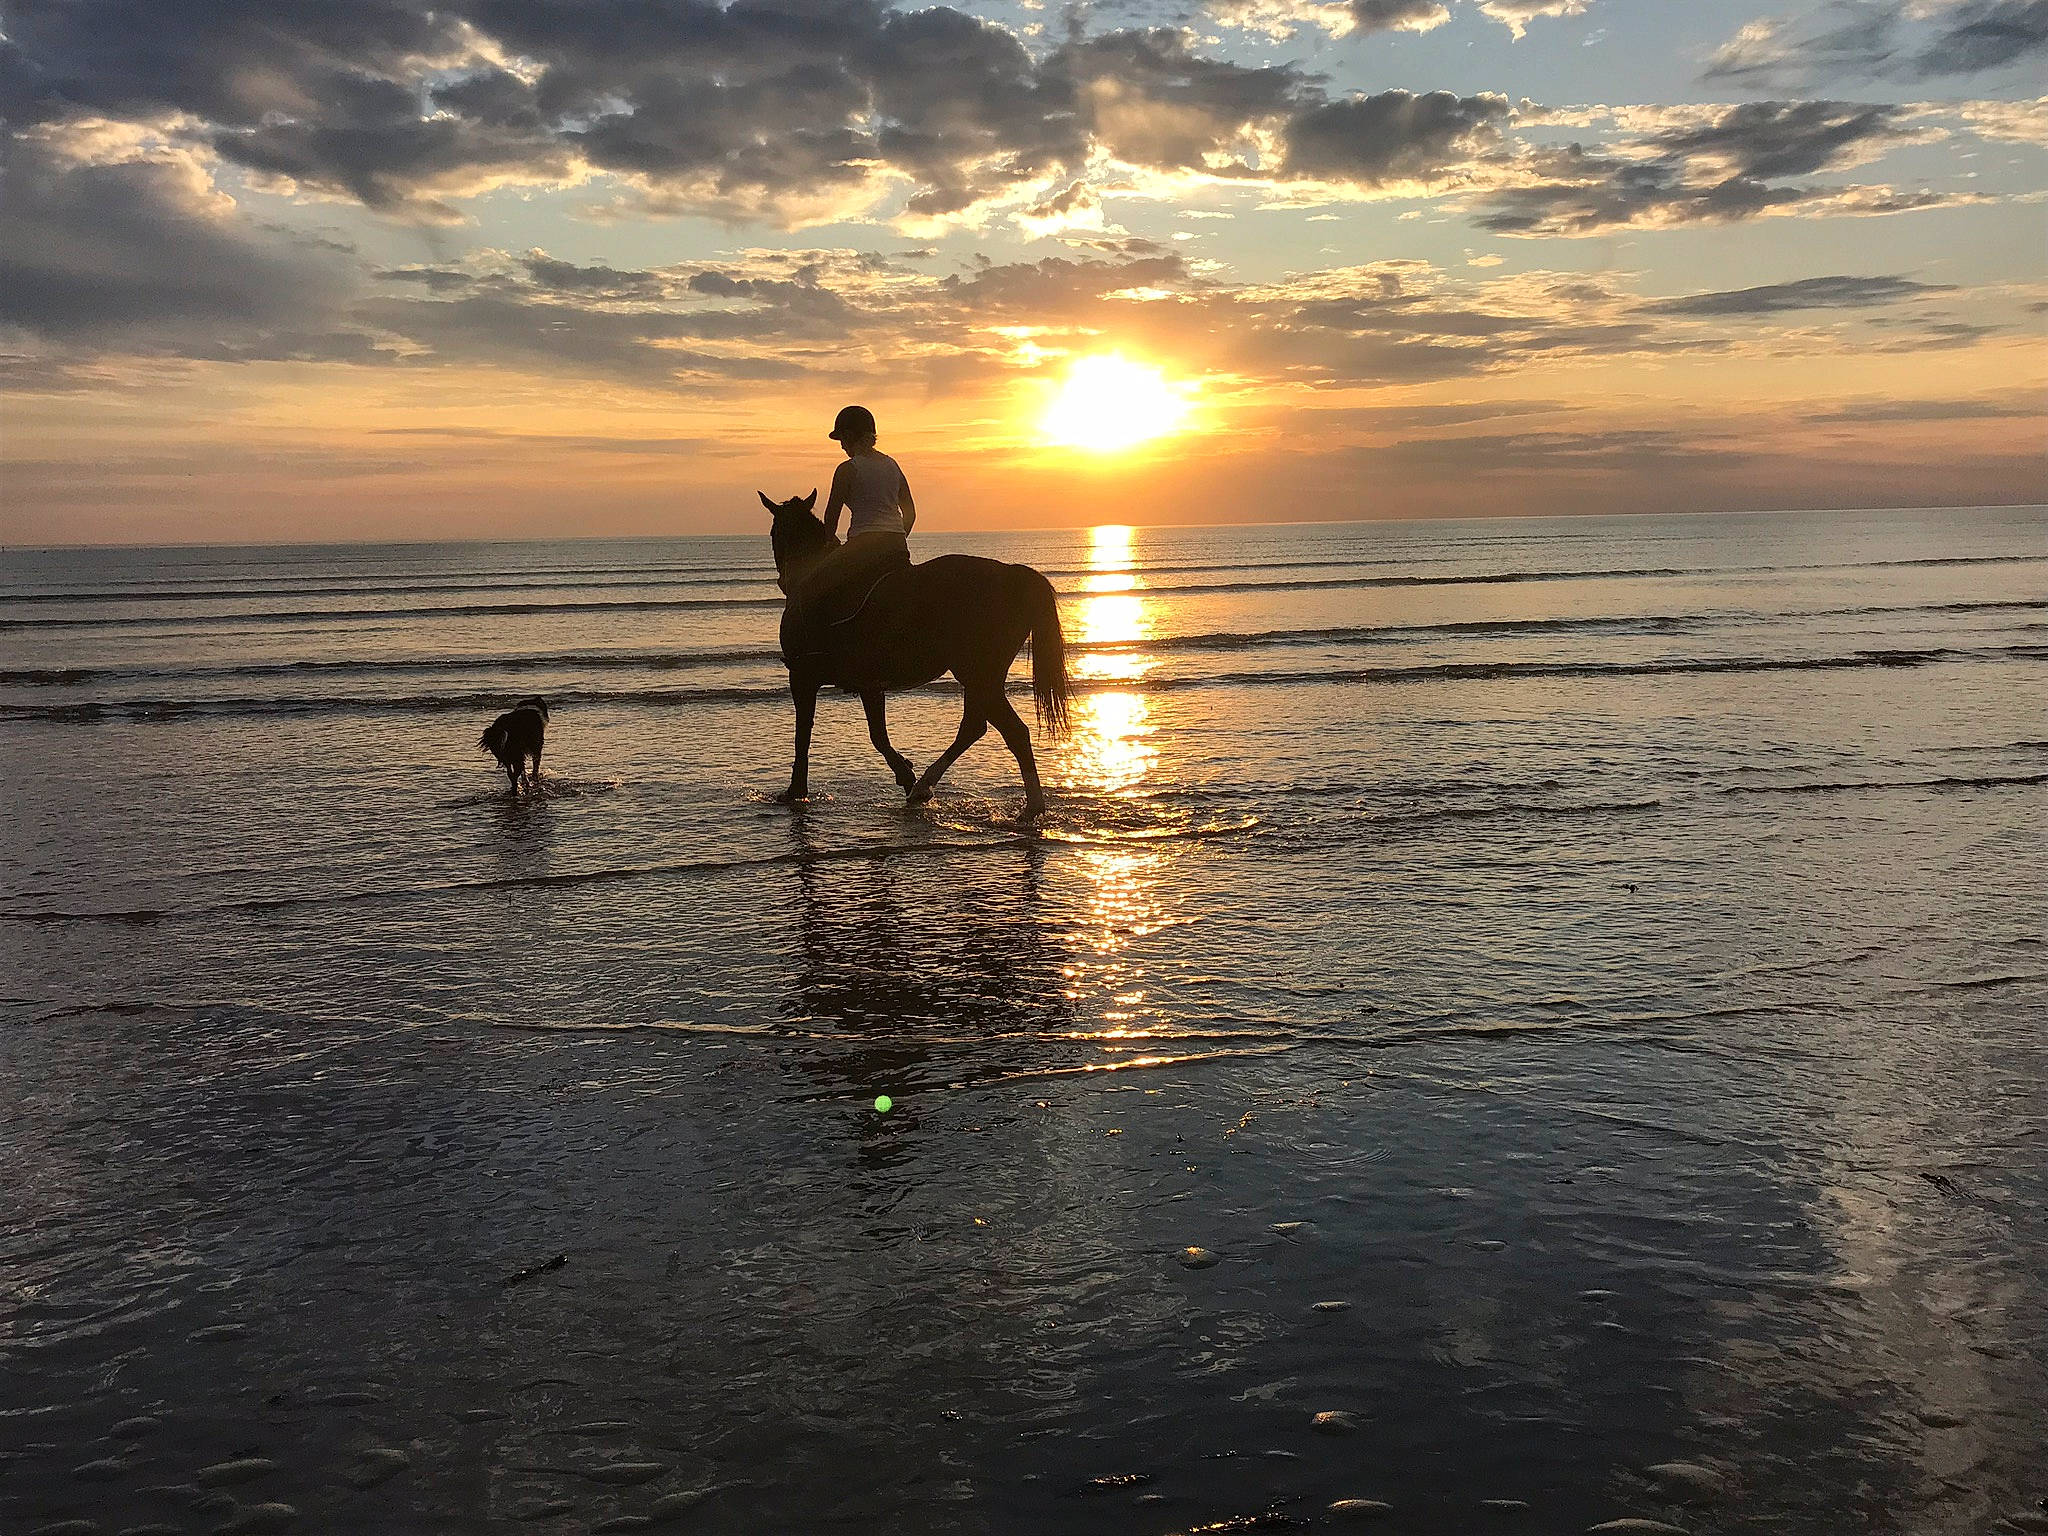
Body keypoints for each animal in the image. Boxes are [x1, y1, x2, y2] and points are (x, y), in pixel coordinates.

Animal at [759, 490, 1070, 819]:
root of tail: (1014, 575)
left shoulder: (802, 676)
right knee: (975, 727)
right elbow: (878, 735)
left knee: (1012, 732)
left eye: (774, 532)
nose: (782, 582)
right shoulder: (869, 684)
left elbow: (803, 735)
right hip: (981, 677)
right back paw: (924, 786)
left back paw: (1031, 807)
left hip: (978, 674)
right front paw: (906, 775)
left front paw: (796, 791)